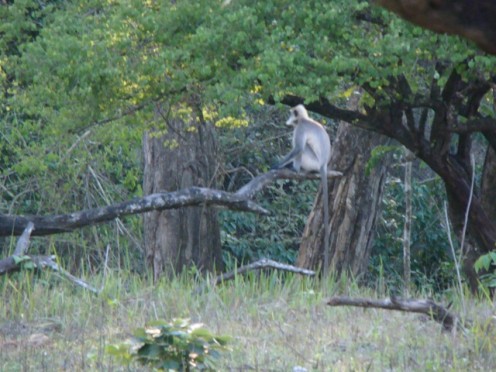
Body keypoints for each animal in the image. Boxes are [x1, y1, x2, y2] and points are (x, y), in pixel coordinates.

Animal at [274, 104, 332, 276]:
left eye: (290, 115)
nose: (287, 120)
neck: (304, 120)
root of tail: (323, 165)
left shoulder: (300, 128)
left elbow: (298, 148)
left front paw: (278, 165)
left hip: (312, 160)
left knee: (302, 148)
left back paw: (296, 169)